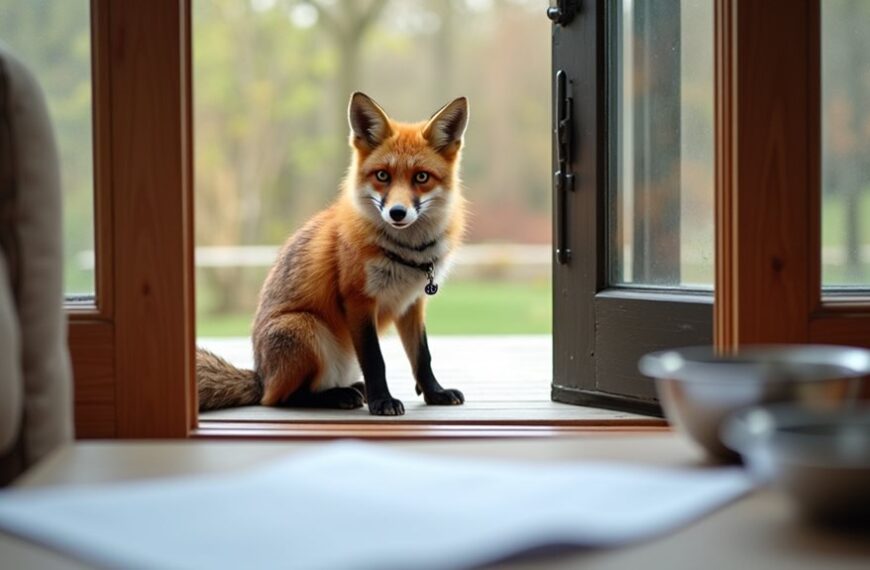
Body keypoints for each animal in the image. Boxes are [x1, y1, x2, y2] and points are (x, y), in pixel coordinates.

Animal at [197, 92, 468, 416]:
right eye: (382, 176)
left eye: (422, 177)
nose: (397, 212)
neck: (407, 253)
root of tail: (260, 376)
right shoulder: (357, 300)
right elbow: (375, 361)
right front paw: (382, 401)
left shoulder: (411, 303)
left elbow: (422, 356)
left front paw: (434, 392)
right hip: (305, 328)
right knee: (282, 398)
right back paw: (338, 396)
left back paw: (353, 389)